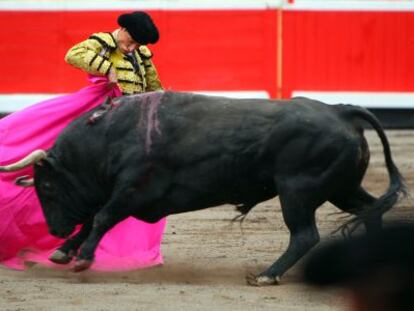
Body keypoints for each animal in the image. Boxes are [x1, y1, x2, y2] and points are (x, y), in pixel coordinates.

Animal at [0, 91, 406, 286]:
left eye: (47, 185)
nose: (54, 230)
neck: (108, 138)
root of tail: (341, 110)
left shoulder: (133, 189)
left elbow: (100, 218)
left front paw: (82, 258)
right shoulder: (124, 194)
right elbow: (93, 220)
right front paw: (64, 251)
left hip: (297, 191)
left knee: (305, 235)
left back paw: (267, 275)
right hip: (341, 187)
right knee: (370, 209)